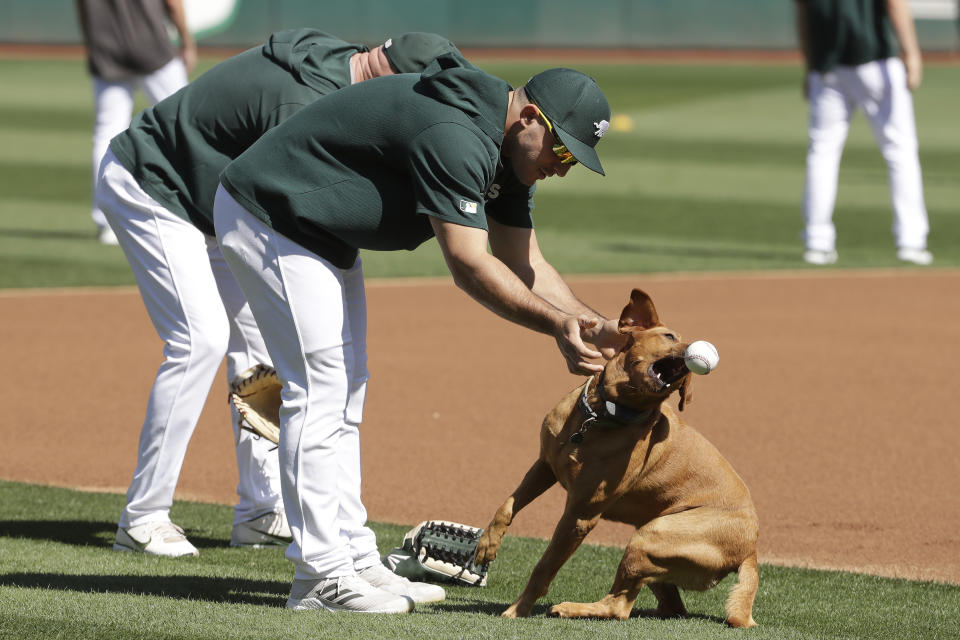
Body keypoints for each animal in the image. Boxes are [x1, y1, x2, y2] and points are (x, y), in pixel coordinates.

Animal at [472, 288, 756, 624]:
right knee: (667, 605)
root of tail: (752, 550)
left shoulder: (580, 515)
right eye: (669, 335)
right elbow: (508, 505)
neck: (600, 415)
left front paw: (518, 609)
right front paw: (487, 545)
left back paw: (572, 608)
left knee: (618, 607)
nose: (698, 350)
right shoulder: (545, 465)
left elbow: (544, 567)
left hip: (651, 536)